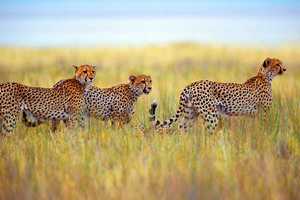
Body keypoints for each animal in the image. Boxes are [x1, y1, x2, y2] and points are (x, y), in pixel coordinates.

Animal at [149, 57, 286, 133]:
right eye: (277, 64)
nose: (285, 69)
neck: (264, 76)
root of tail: (191, 84)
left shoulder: (254, 115)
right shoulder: (263, 112)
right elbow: (264, 126)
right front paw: (265, 136)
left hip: (190, 113)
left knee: (183, 128)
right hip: (211, 115)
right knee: (208, 132)